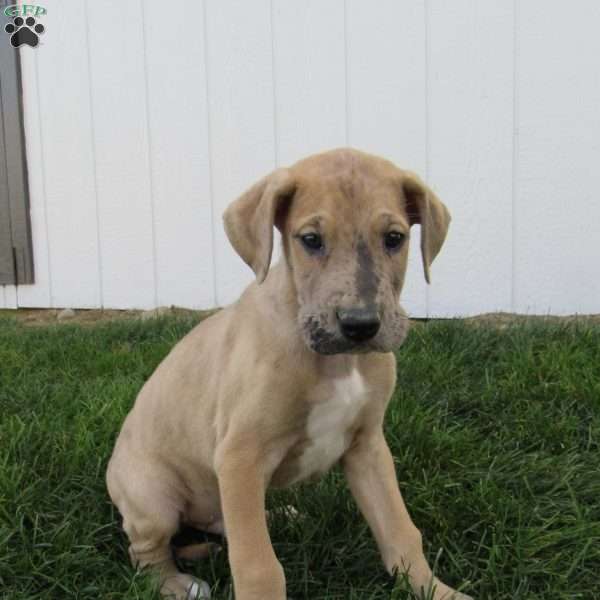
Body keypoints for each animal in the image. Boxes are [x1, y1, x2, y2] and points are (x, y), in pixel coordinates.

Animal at [108, 146, 474, 600]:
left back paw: (276, 514)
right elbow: (259, 565)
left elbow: (400, 530)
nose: (359, 325)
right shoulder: (240, 455)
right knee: (146, 551)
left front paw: (433, 589)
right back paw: (176, 583)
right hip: (153, 498)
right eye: (311, 240)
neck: (337, 360)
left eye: (395, 238)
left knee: (226, 519)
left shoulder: (368, 445)